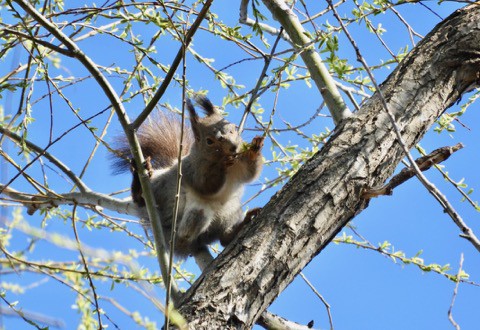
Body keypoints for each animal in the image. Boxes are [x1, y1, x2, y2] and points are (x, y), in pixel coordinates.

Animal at [111, 97, 264, 258]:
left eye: (234, 128)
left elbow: (250, 173)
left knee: (223, 239)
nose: (233, 147)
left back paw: (241, 224)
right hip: (163, 191)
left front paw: (254, 148)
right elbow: (206, 186)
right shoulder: (192, 171)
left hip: (230, 212)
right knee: (143, 201)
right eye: (209, 141)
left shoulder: (239, 167)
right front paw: (222, 164)